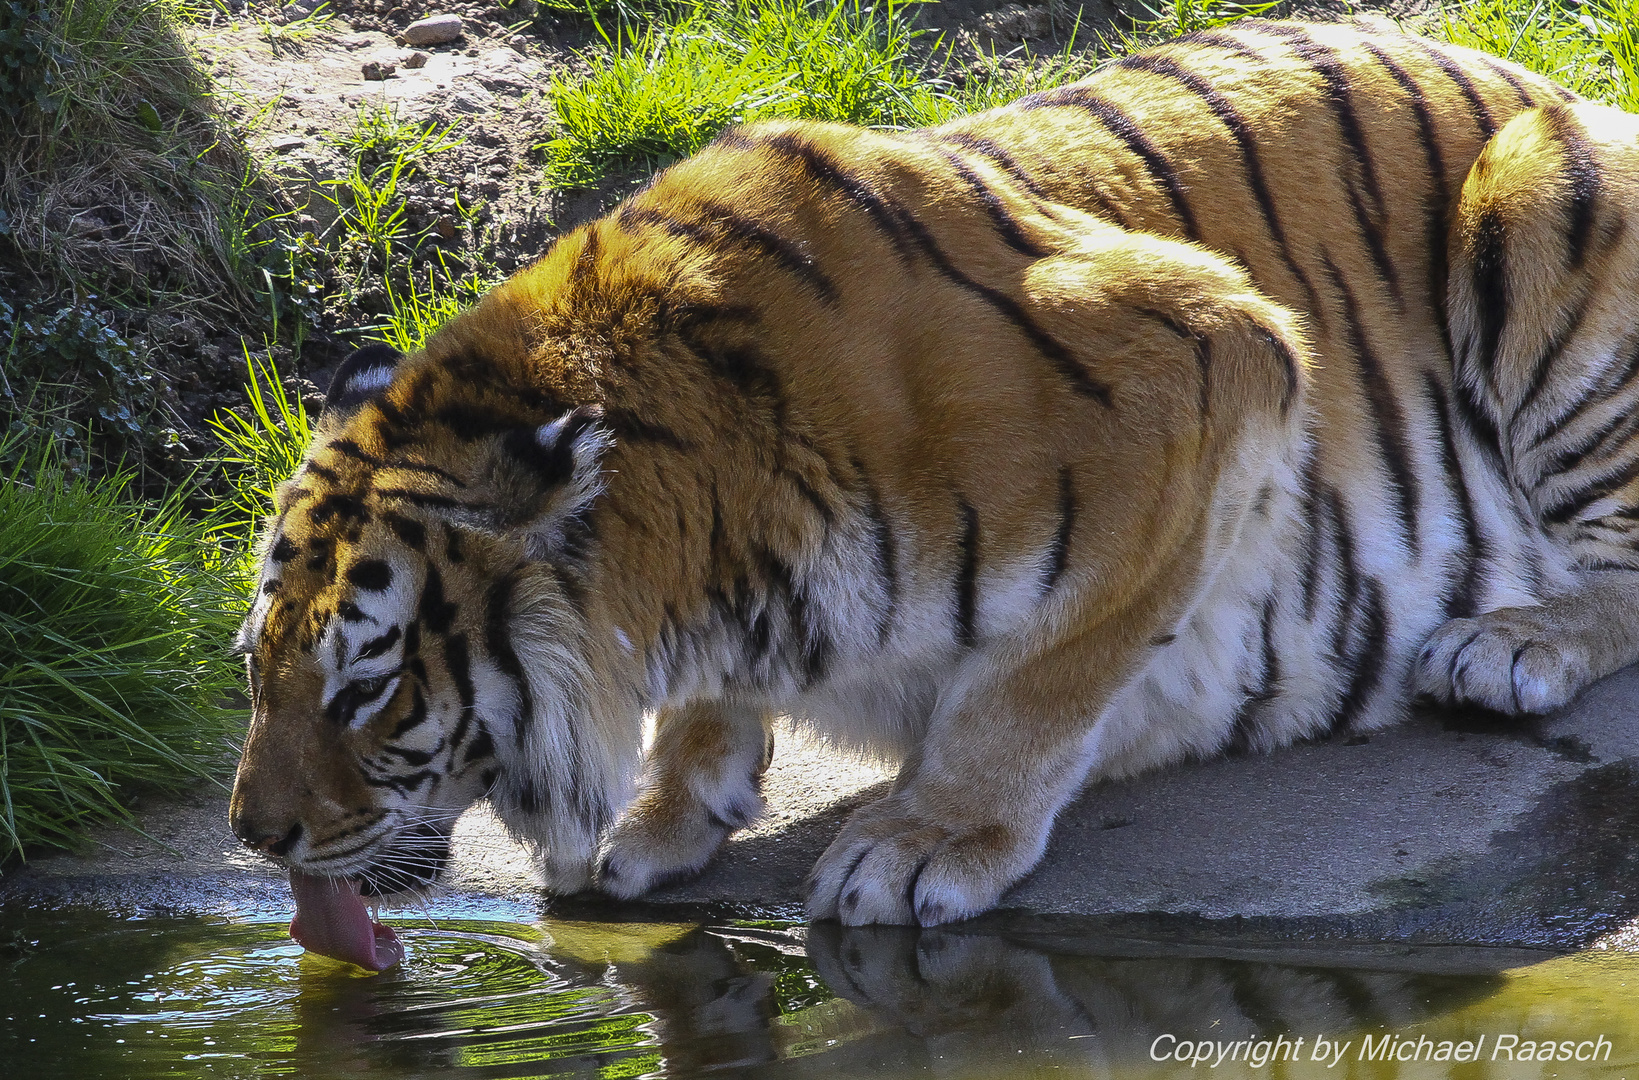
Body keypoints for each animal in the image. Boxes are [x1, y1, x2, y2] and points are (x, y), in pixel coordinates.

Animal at [231, 16, 1639, 957]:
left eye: (365, 689)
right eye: (257, 667)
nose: (254, 840)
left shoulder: (1211, 355)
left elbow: (1040, 677)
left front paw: (924, 846)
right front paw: (670, 807)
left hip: (1542, 193)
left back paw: (1507, 644)